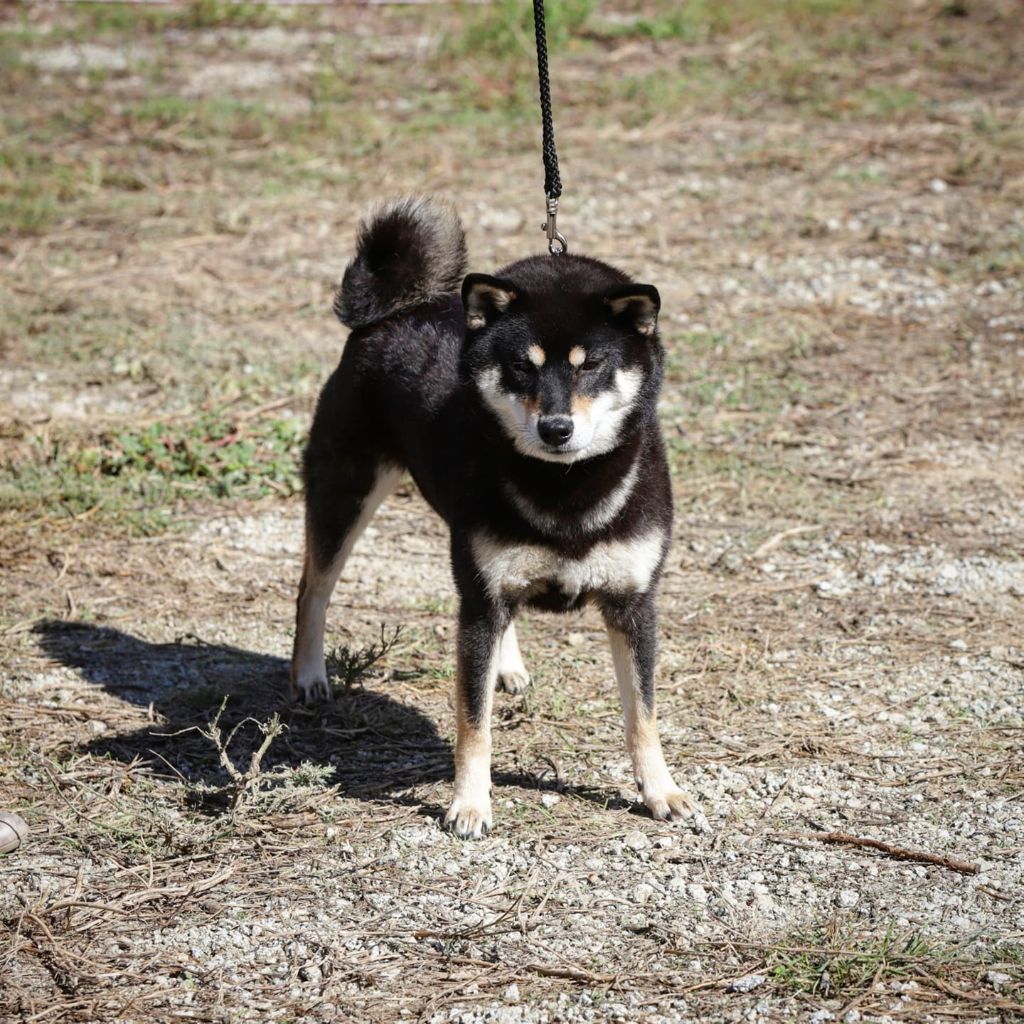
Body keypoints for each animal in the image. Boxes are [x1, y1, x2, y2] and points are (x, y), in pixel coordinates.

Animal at [290, 199, 696, 839]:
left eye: (590, 366)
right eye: (522, 368)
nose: (556, 428)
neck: (565, 487)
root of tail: (393, 311)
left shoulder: (633, 604)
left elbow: (643, 716)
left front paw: (662, 791)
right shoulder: (478, 602)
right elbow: (472, 723)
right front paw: (470, 804)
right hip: (345, 493)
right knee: (313, 589)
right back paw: (308, 676)